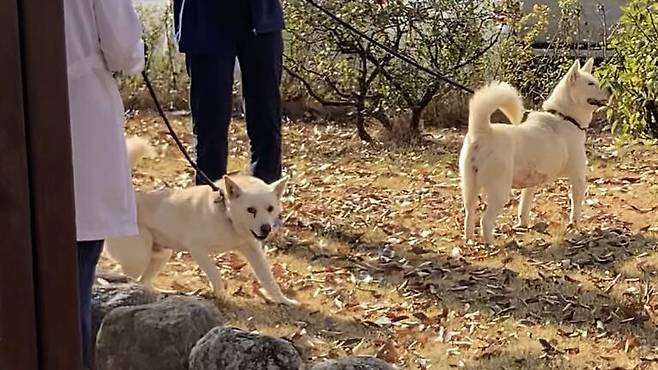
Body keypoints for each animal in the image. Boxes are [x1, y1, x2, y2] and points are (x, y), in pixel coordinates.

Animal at [104, 137, 298, 304]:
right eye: (251, 210)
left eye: (270, 209)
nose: (266, 229)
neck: (227, 216)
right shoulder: (197, 249)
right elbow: (215, 274)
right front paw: (222, 295)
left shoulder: (253, 251)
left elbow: (269, 280)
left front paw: (283, 300)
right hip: (138, 258)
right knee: (122, 275)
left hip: (160, 254)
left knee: (142, 281)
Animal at [456, 59, 608, 244]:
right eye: (591, 84)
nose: (610, 89)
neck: (565, 118)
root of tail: (483, 132)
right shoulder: (578, 178)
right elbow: (576, 209)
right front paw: (576, 227)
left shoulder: (530, 185)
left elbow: (524, 206)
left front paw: (523, 225)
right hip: (499, 192)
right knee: (485, 221)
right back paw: (491, 244)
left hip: (469, 188)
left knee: (469, 215)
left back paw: (469, 240)